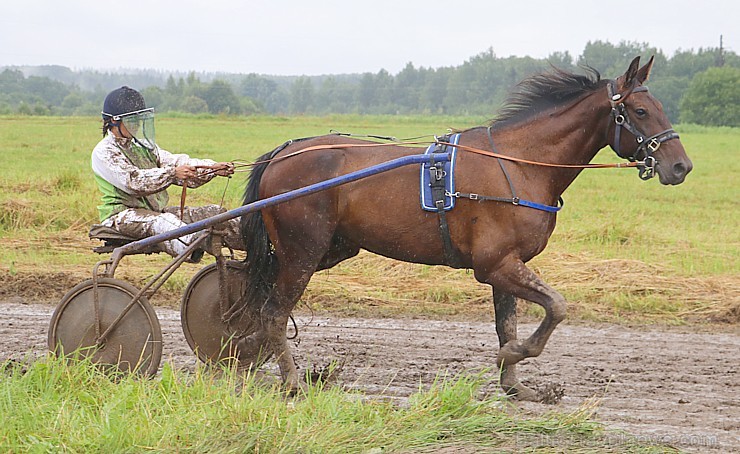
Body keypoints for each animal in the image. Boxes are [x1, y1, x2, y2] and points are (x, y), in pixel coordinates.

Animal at [237, 56, 692, 400]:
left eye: (660, 107)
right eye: (640, 111)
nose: (680, 166)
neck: (519, 164)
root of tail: (283, 153)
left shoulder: (508, 265)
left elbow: (507, 324)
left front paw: (516, 384)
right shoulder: (495, 264)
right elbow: (556, 307)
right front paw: (515, 354)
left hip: (331, 249)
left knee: (261, 301)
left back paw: (244, 351)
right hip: (303, 251)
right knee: (274, 311)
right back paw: (291, 380)